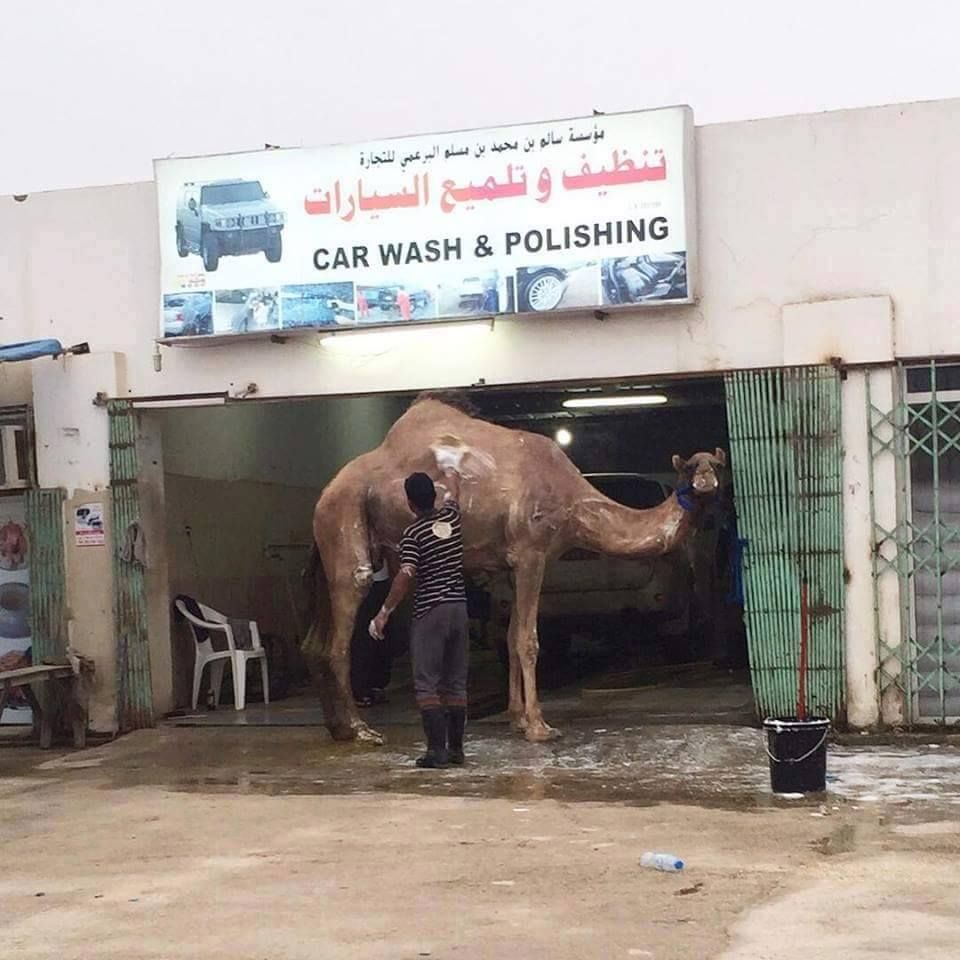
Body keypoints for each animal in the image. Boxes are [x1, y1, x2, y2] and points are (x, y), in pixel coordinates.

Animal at [303, 394, 725, 744]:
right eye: (690, 467)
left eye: (717, 464)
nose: (706, 482)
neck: (574, 503)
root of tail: (324, 495)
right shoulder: (531, 553)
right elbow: (528, 640)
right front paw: (539, 727)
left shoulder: (514, 563)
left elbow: (509, 636)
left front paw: (518, 718)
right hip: (344, 522)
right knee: (341, 635)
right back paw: (360, 730)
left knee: (319, 642)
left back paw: (337, 728)